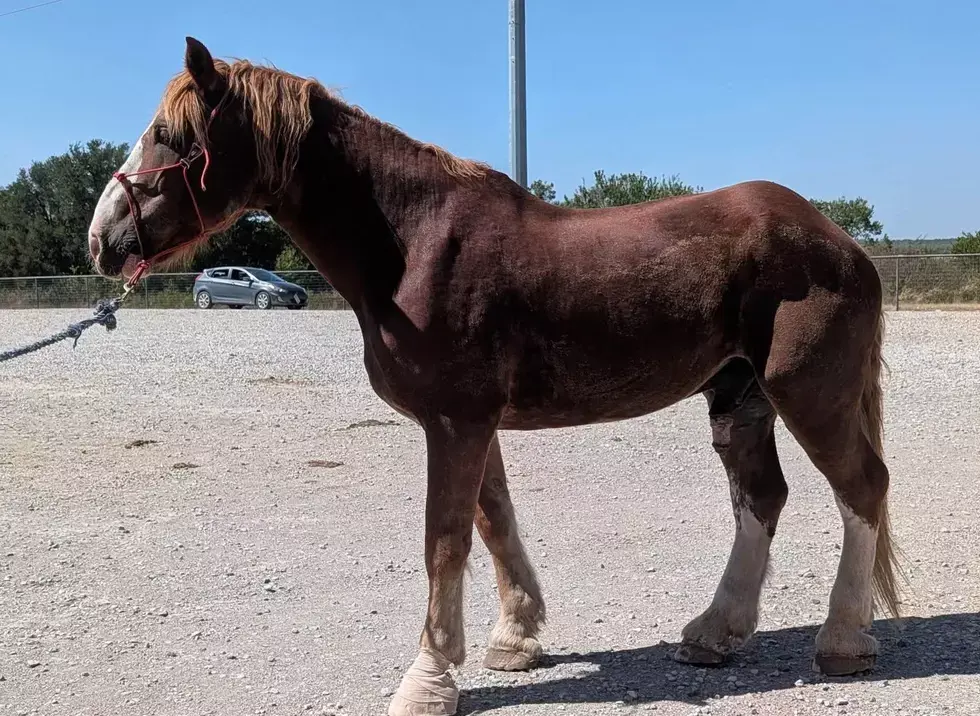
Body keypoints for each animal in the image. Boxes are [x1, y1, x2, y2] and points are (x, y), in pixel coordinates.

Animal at [87, 37, 902, 716]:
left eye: (173, 137)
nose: (102, 239)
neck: (412, 245)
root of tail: (838, 241)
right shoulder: (471, 423)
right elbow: (494, 518)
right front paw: (516, 637)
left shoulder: (456, 422)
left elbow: (445, 539)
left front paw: (427, 681)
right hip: (739, 395)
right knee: (761, 498)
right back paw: (715, 630)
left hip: (810, 394)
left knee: (862, 487)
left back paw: (842, 640)